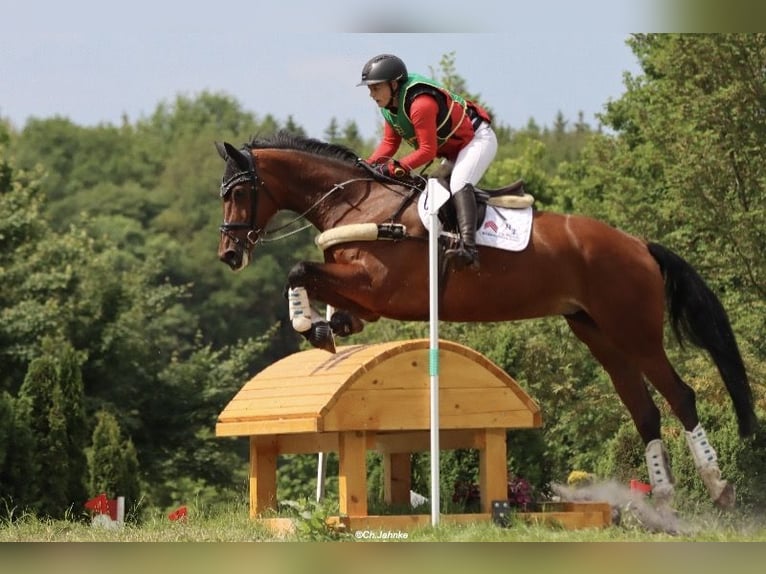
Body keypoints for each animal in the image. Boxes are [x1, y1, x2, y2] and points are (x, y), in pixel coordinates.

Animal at [216, 129, 760, 508]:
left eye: (237, 194)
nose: (229, 255)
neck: (361, 202)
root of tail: (638, 245)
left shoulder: (378, 287)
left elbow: (297, 268)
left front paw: (312, 326)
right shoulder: (364, 296)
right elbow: (312, 279)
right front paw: (326, 327)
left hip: (635, 332)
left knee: (680, 395)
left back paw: (718, 488)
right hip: (599, 335)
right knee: (643, 409)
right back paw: (664, 499)